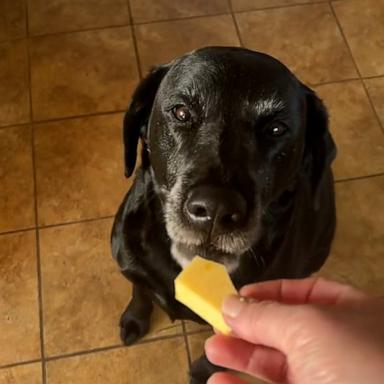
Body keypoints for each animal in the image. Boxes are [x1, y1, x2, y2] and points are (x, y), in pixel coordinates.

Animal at [111, 46, 336, 382]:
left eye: (276, 129)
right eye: (181, 112)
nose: (216, 208)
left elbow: (217, 352)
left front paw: (202, 372)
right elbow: (140, 290)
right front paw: (134, 319)